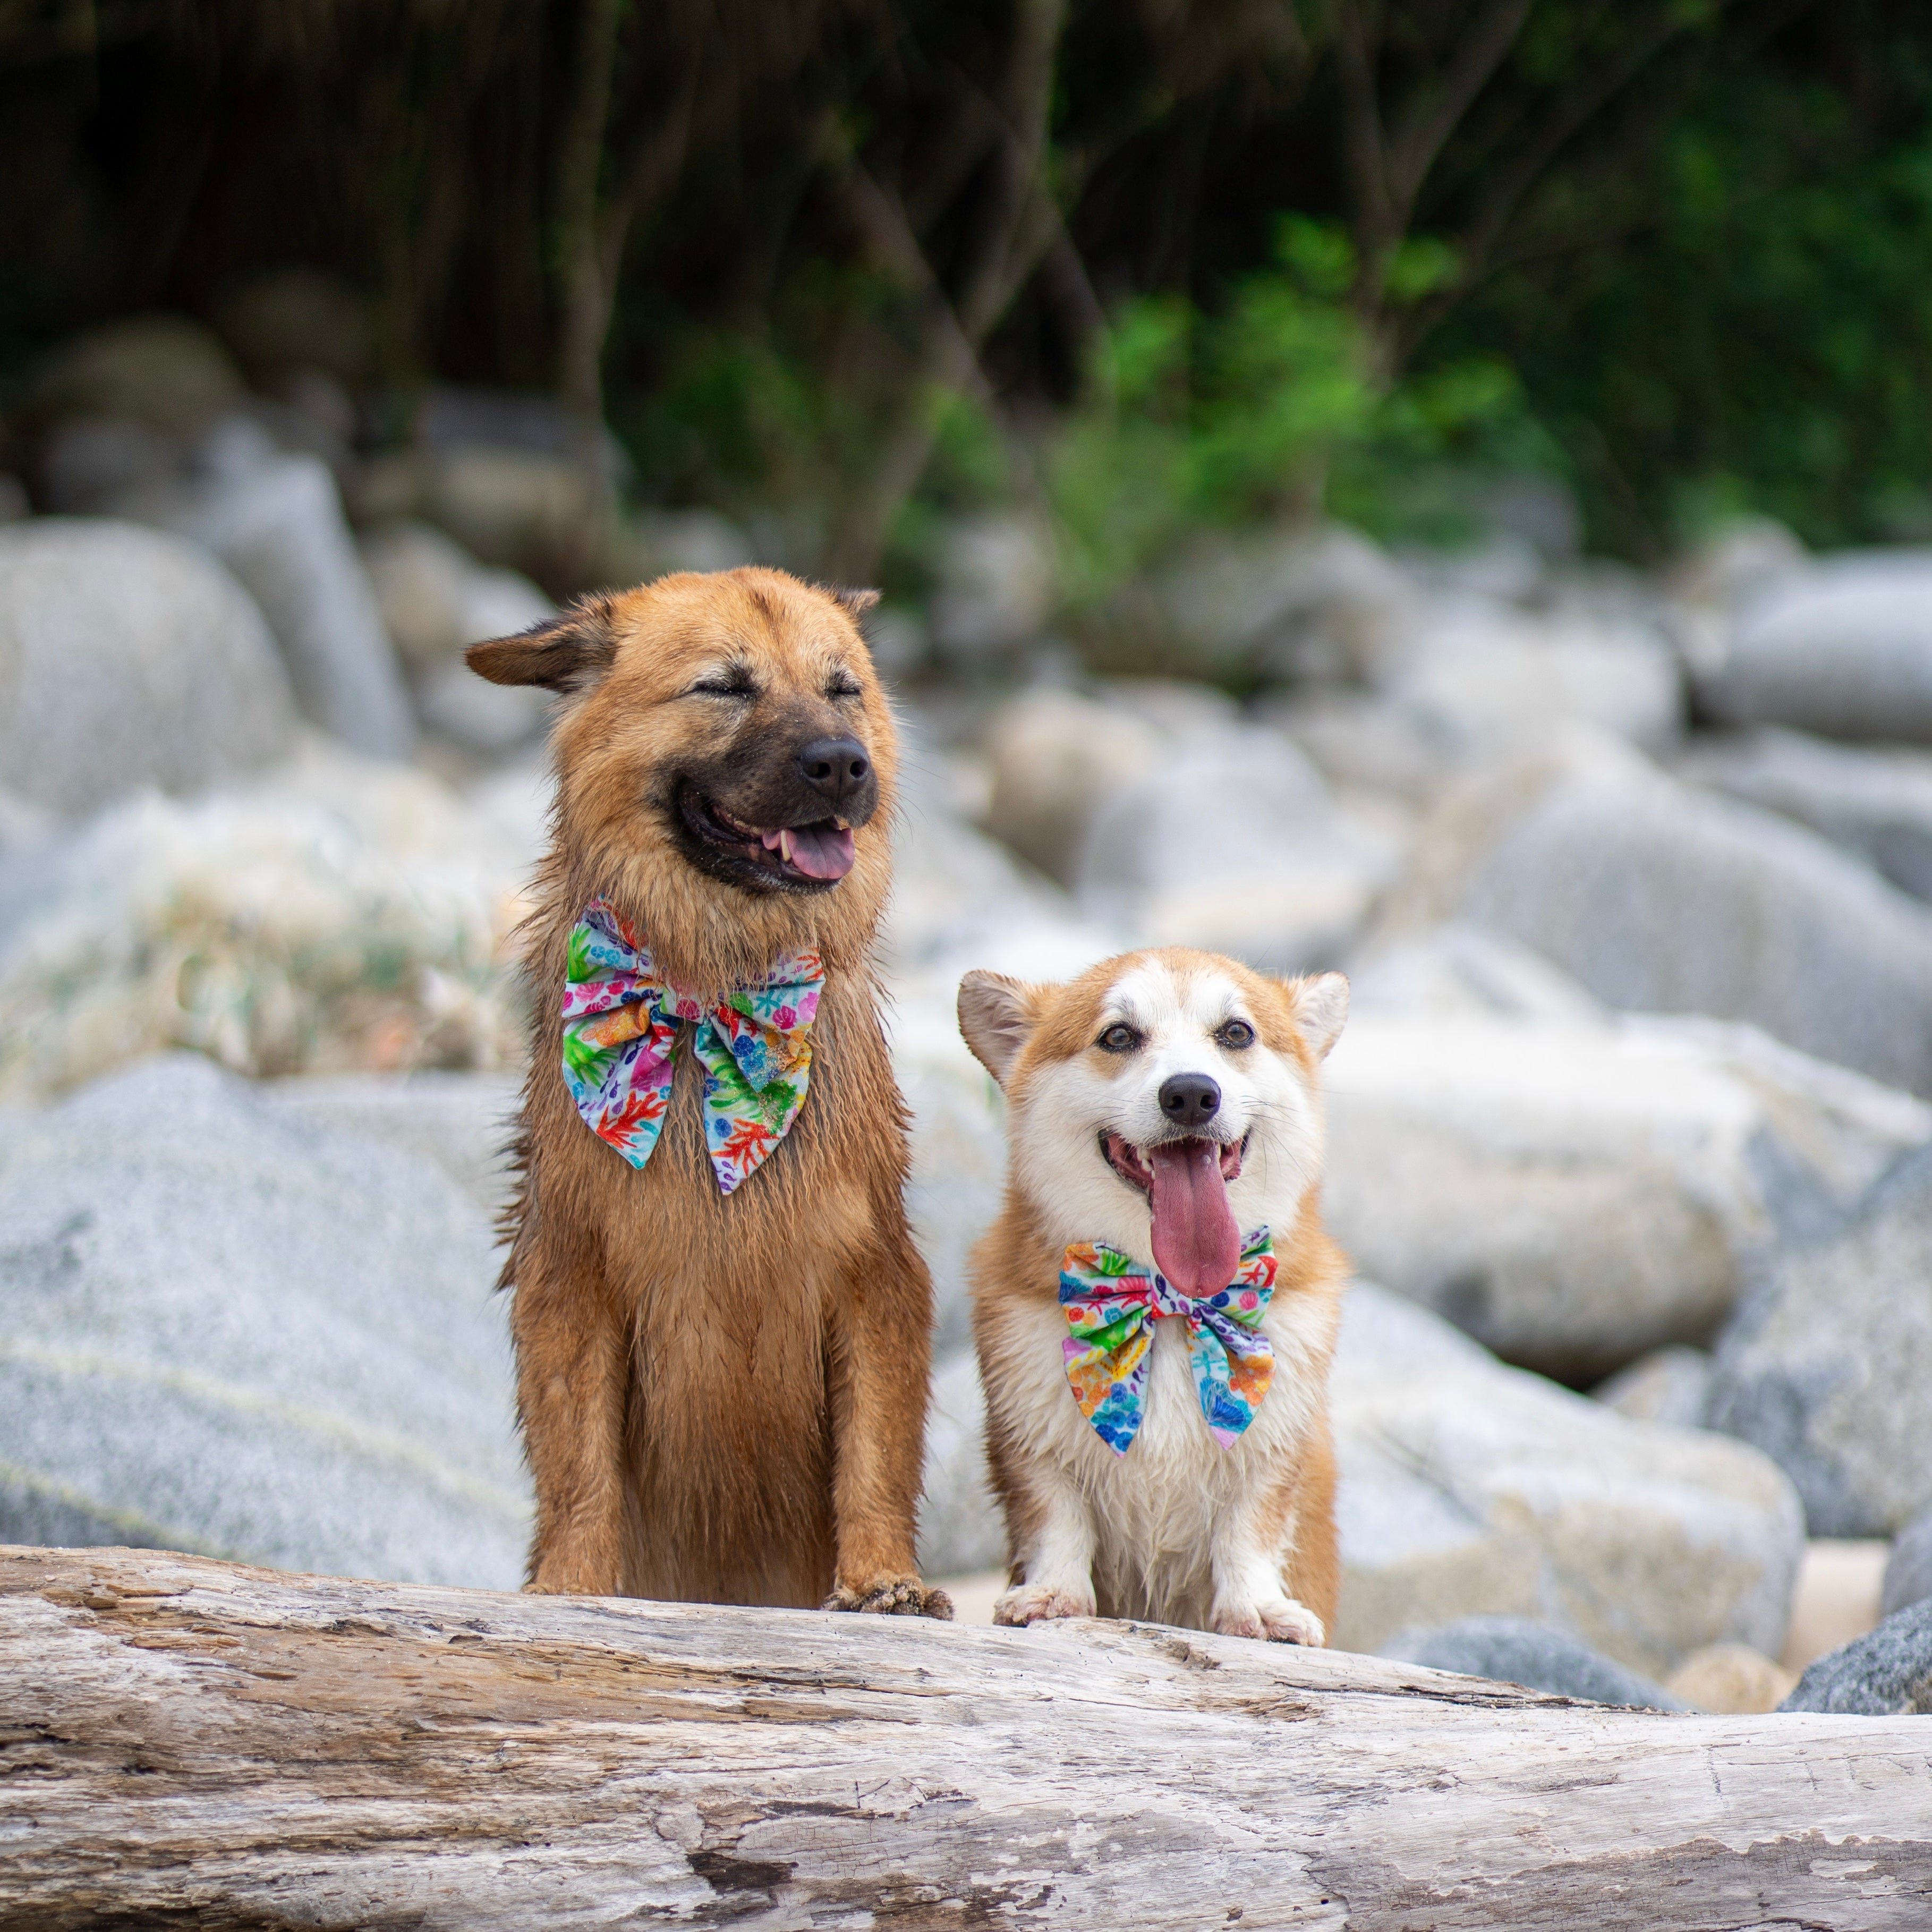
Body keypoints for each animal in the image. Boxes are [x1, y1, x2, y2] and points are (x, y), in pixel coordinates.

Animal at [469, 564, 950, 1615]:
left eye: (842, 688)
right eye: (724, 687)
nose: (843, 765)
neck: (708, 1000)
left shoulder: (876, 1274)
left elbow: (878, 1451)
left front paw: (884, 1579)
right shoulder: (568, 1275)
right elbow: (578, 1464)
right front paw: (570, 1585)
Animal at [954, 950, 1344, 1646]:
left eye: (1236, 1032)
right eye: (1118, 1036)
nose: (1189, 1093)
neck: (1168, 1301)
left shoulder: (1273, 1448)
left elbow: (1250, 1529)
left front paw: (1259, 1611)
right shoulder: (1031, 1442)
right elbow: (1056, 1519)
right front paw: (1052, 1596)